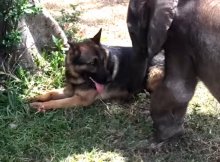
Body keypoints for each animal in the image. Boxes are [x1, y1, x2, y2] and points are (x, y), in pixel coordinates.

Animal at [29, 29, 163, 112]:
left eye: (103, 60)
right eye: (92, 63)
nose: (109, 80)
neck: (78, 77)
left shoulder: (80, 99)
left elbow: (57, 102)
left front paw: (40, 105)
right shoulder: (68, 91)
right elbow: (50, 93)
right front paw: (34, 96)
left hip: (152, 74)